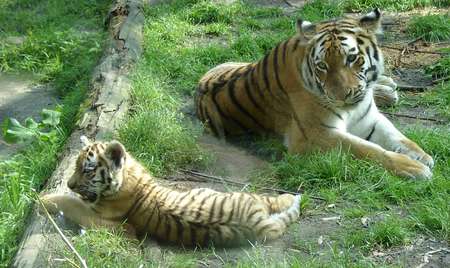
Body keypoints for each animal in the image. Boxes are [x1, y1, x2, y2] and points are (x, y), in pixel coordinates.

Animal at [40, 137, 300, 246]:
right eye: (75, 166)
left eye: (87, 170)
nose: (70, 184)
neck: (128, 175)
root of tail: (260, 225)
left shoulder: (99, 217)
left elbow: (71, 203)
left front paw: (42, 199)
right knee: (272, 202)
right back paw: (293, 196)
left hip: (238, 195)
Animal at [195, 8, 434, 180]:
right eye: (322, 66)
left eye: (351, 58)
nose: (341, 96)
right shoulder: (315, 135)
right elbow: (367, 149)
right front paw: (413, 167)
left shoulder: (369, 118)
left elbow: (397, 136)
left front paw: (421, 155)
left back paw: (386, 87)